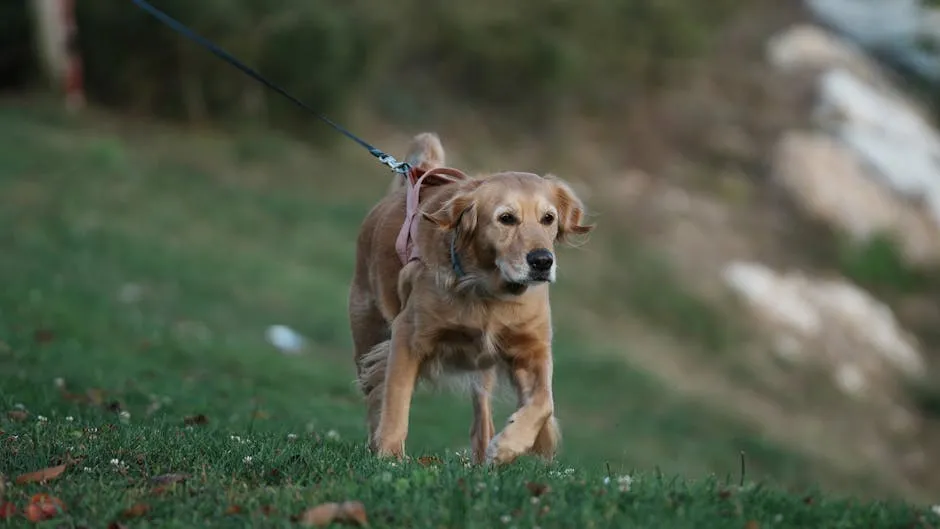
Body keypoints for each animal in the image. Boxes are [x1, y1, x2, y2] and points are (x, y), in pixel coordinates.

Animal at [348, 132, 592, 462]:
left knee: (482, 420)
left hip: (483, 370)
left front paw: (509, 445)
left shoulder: (533, 348)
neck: (490, 291)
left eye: (548, 218)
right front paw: (389, 454)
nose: (542, 261)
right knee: (373, 389)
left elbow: (544, 403)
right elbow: (395, 400)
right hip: (366, 329)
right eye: (506, 218)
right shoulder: (408, 336)